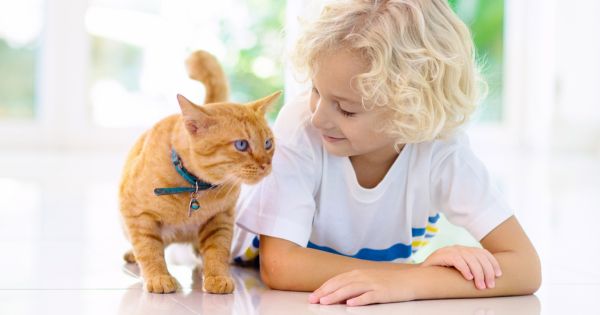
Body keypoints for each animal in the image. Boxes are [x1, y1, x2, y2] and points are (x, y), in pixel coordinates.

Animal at [120, 49, 282, 294]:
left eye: (267, 143)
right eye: (241, 145)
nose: (266, 164)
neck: (195, 186)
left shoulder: (220, 218)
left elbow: (217, 251)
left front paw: (217, 277)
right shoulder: (139, 216)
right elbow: (149, 249)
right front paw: (158, 277)